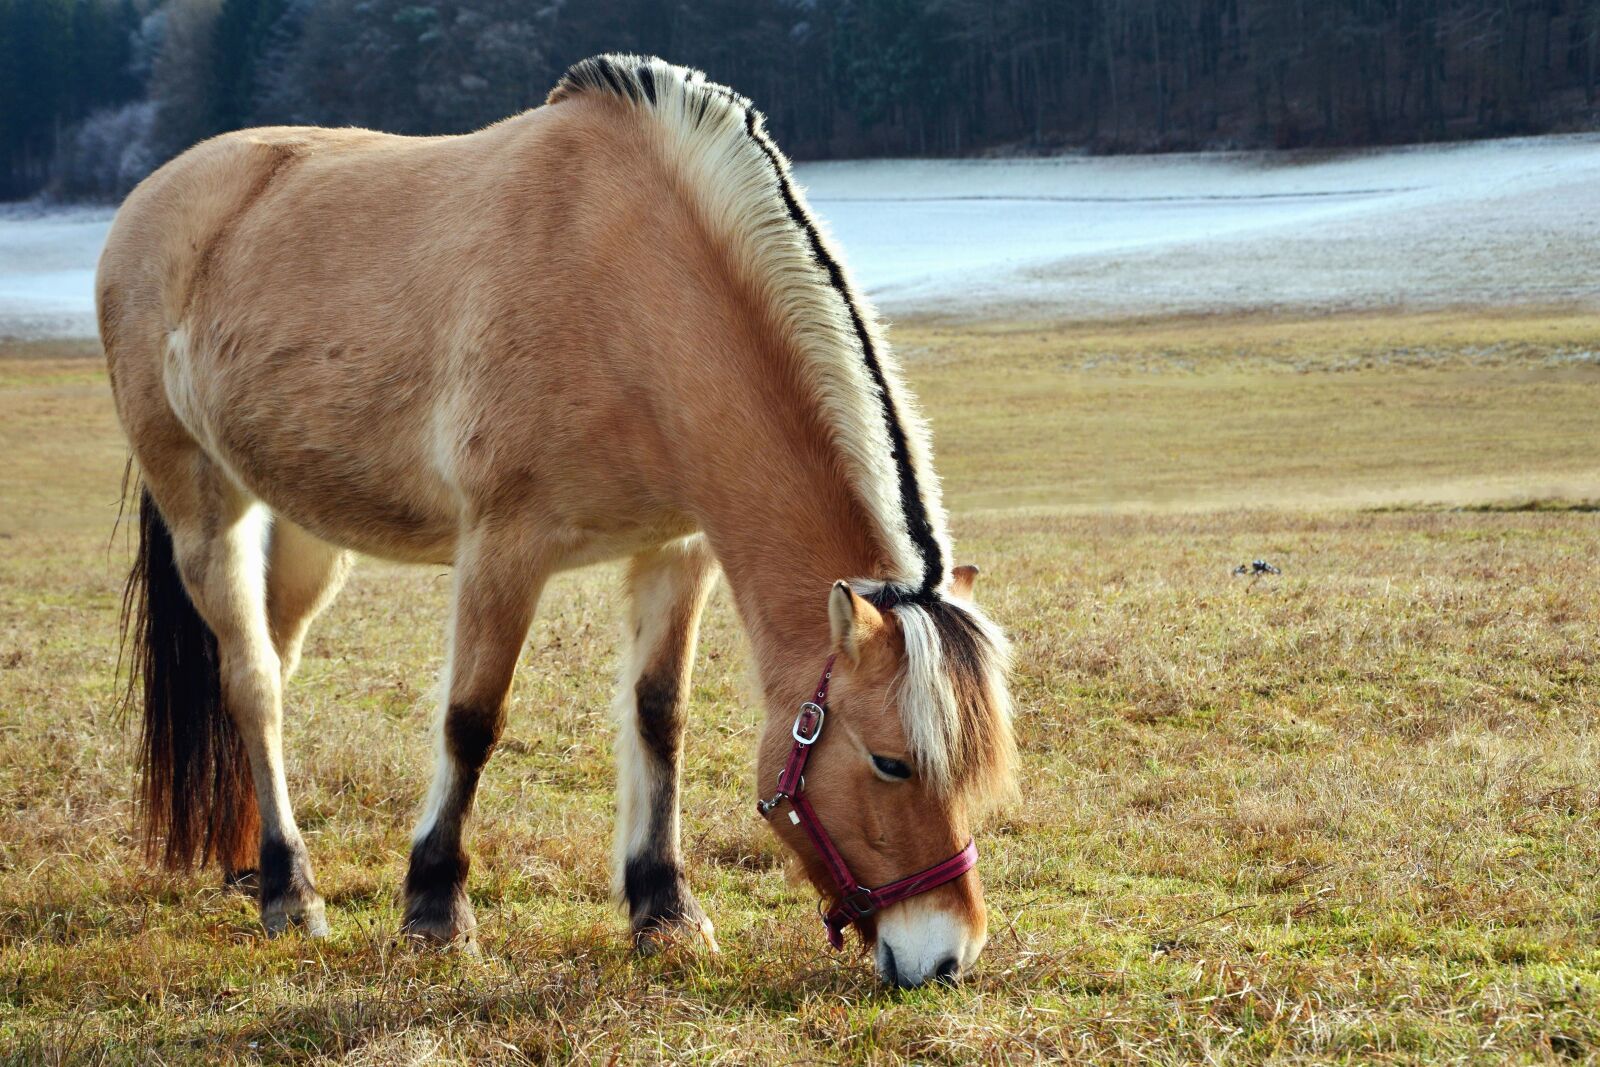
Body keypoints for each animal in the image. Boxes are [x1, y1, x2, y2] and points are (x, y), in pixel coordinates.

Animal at [100, 54, 1015, 988]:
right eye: (891, 761)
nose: (946, 954)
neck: (629, 285)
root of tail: (153, 199)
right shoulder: (504, 548)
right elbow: (472, 720)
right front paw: (436, 910)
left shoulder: (676, 550)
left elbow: (659, 718)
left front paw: (665, 909)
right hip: (205, 507)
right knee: (252, 684)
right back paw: (292, 891)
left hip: (304, 532)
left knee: (267, 670)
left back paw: (250, 863)